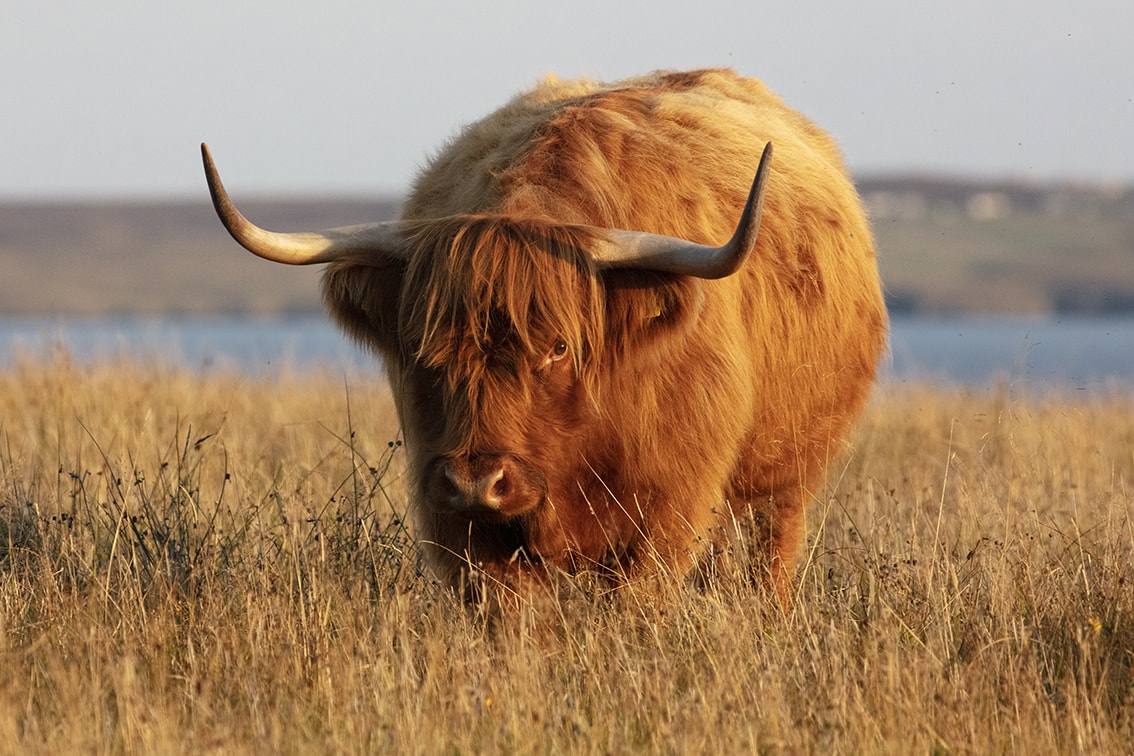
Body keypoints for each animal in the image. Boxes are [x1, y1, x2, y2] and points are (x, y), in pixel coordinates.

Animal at [206, 68, 893, 607]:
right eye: (425, 344)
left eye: (559, 346)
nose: (477, 482)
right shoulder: (462, 527)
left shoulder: (664, 515)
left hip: (785, 477)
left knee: (768, 562)